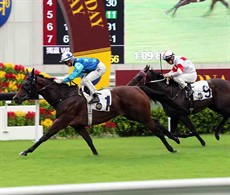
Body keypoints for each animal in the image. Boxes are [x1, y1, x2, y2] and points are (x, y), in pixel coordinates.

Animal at [12, 69, 180, 156]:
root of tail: (137, 88)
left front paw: (26, 151)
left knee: (156, 130)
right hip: (134, 115)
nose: (15, 98)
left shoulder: (63, 120)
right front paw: (96, 154)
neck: (63, 96)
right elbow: (89, 140)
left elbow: (44, 136)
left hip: (140, 115)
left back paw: (171, 147)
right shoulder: (77, 125)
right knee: (156, 122)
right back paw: (176, 138)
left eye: (26, 84)